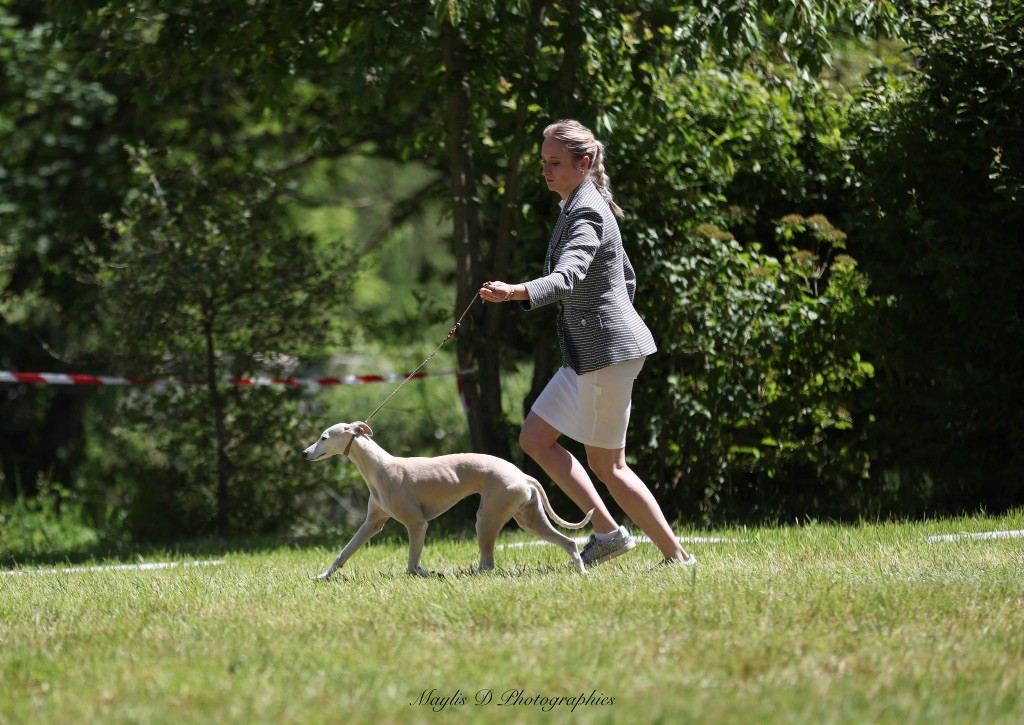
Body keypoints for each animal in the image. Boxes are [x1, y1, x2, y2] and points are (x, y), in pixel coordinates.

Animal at [301, 419, 593, 577]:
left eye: (324, 437)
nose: (304, 453)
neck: (380, 466)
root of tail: (522, 475)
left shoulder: (417, 524)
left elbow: (411, 566)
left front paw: (429, 573)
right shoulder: (372, 523)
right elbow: (345, 551)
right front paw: (322, 576)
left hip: (489, 515)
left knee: (488, 563)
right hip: (527, 517)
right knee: (568, 542)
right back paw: (581, 571)